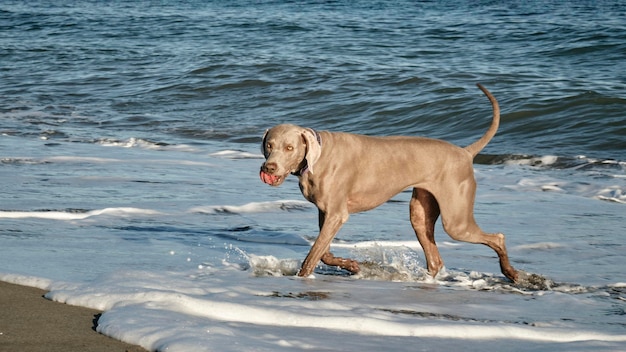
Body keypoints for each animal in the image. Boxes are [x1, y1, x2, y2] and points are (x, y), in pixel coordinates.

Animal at [258, 83, 516, 284]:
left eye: (289, 148)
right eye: (269, 145)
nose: (269, 168)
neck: (317, 156)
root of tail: (465, 152)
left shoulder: (336, 214)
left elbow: (313, 254)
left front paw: (303, 276)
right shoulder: (326, 212)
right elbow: (323, 252)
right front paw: (352, 265)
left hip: (456, 220)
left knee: (497, 237)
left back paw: (512, 273)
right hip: (421, 212)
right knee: (434, 258)